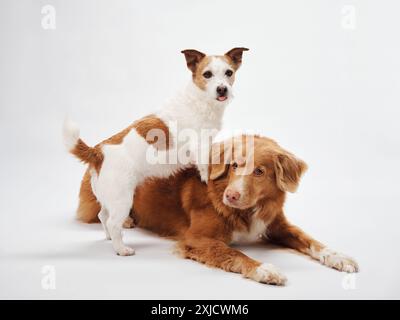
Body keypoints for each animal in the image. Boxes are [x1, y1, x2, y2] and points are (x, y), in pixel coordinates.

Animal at [63, 47, 248, 255]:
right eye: (207, 74)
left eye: (229, 73)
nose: (222, 89)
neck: (199, 99)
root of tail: (97, 153)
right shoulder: (200, 147)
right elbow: (206, 169)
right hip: (123, 199)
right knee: (112, 222)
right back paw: (121, 249)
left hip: (108, 197)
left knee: (103, 215)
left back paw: (110, 238)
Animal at [76, 135, 358, 284]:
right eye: (234, 165)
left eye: (259, 171)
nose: (231, 195)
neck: (248, 210)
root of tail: (99, 151)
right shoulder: (196, 238)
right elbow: (233, 253)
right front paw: (264, 269)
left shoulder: (277, 225)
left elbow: (311, 241)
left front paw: (339, 257)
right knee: (105, 214)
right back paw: (123, 227)